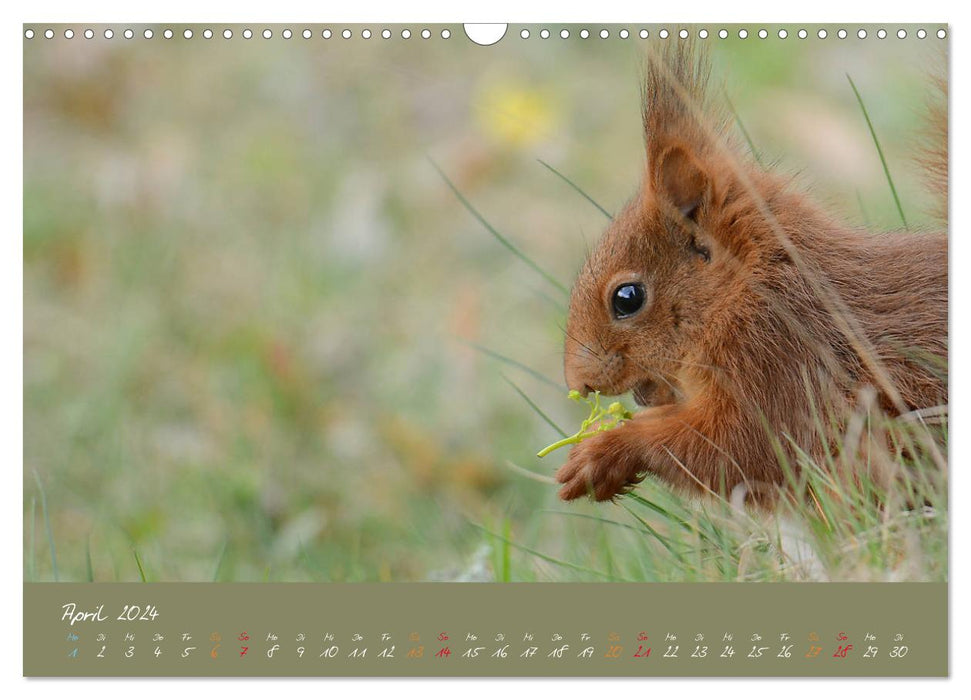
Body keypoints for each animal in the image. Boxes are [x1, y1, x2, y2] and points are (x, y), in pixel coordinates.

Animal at [560, 42, 944, 504]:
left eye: (627, 298)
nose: (578, 382)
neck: (746, 288)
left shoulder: (780, 359)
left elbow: (740, 449)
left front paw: (603, 452)